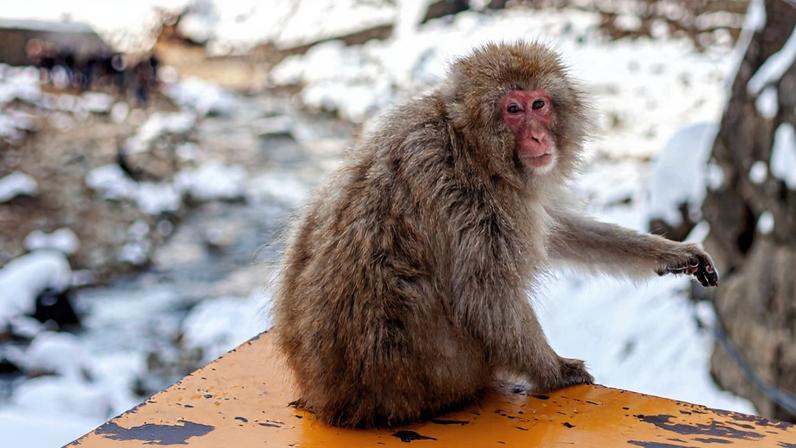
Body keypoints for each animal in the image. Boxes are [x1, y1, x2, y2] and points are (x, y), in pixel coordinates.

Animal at [273, 41, 719, 428]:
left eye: (539, 104)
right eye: (513, 109)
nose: (538, 137)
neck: (472, 148)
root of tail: (334, 400)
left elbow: (555, 231)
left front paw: (673, 253)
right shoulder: (464, 195)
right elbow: (484, 292)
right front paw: (554, 371)